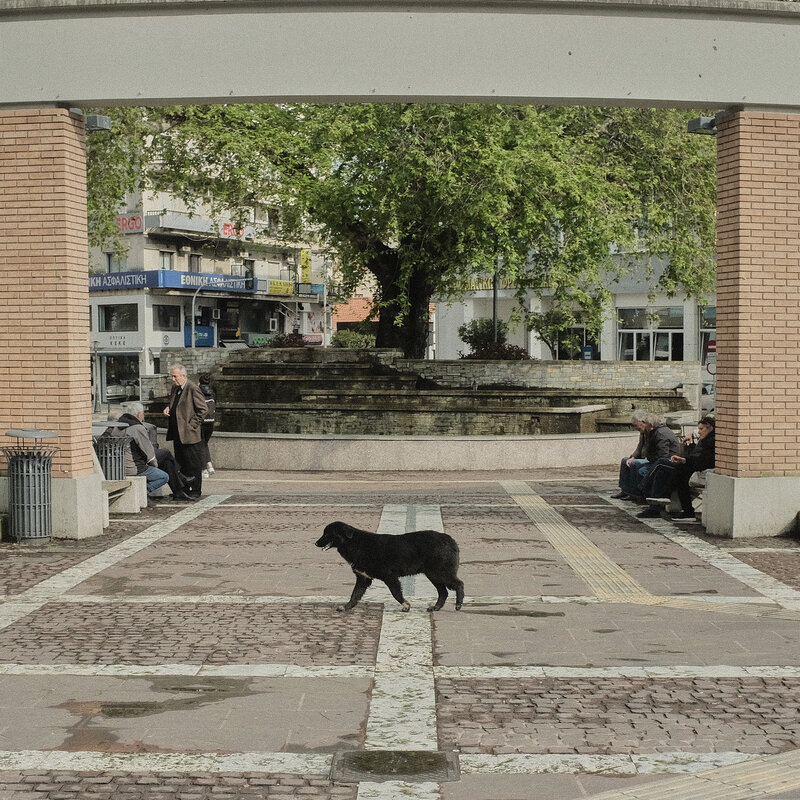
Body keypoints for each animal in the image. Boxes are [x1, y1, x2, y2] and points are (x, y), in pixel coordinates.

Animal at [315, 521, 465, 612]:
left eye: (327, 534)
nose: (316, 543)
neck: (357, 545)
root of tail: (451, 540)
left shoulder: (390, 577)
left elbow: (396, 594)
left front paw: (406, 605)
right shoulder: (363, 579)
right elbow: (354, 595)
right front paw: (346, 607)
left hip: (439, 573)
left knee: (459, 584)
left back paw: (458, 604)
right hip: (434, 575)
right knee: (443, 592)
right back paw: (436, 608)